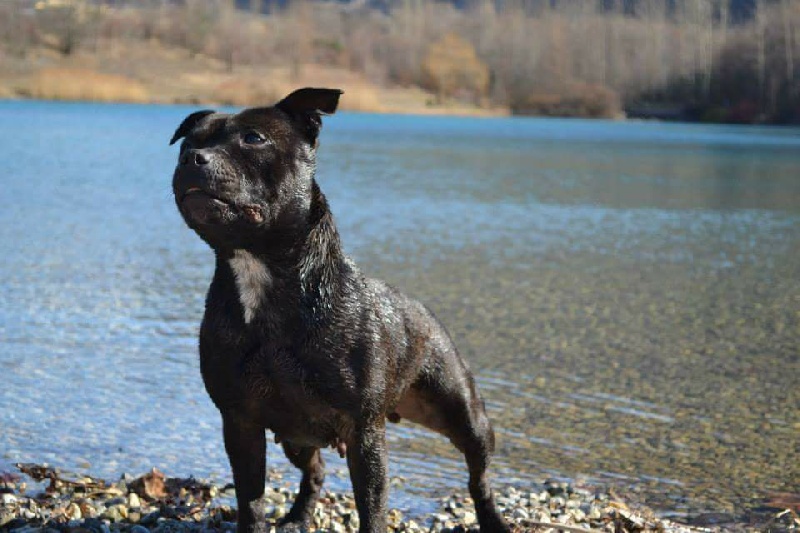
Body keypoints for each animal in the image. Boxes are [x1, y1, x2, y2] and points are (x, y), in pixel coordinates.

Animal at [171, 88, 510, 532]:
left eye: (253, 139)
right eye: (188, 144)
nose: (192, 159)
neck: (259, 272)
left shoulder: (364, 433)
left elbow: (372, 509)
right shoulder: (241, 422)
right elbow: (252, 502)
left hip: (465, 416)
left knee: (479, 475)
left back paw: (493, 520)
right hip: (296, 436)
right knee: (314, 472)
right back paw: (299, 516)